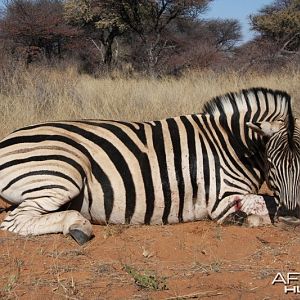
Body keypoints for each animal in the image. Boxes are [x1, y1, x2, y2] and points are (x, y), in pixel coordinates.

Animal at [0, 87, 300, 244]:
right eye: (271, 163)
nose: (293, 217)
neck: (230, 143)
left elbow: (267, 204)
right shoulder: (222, 198)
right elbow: (264, 205)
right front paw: (250, 218)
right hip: (62, 173)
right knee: (16, 222)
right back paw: (78, 226)